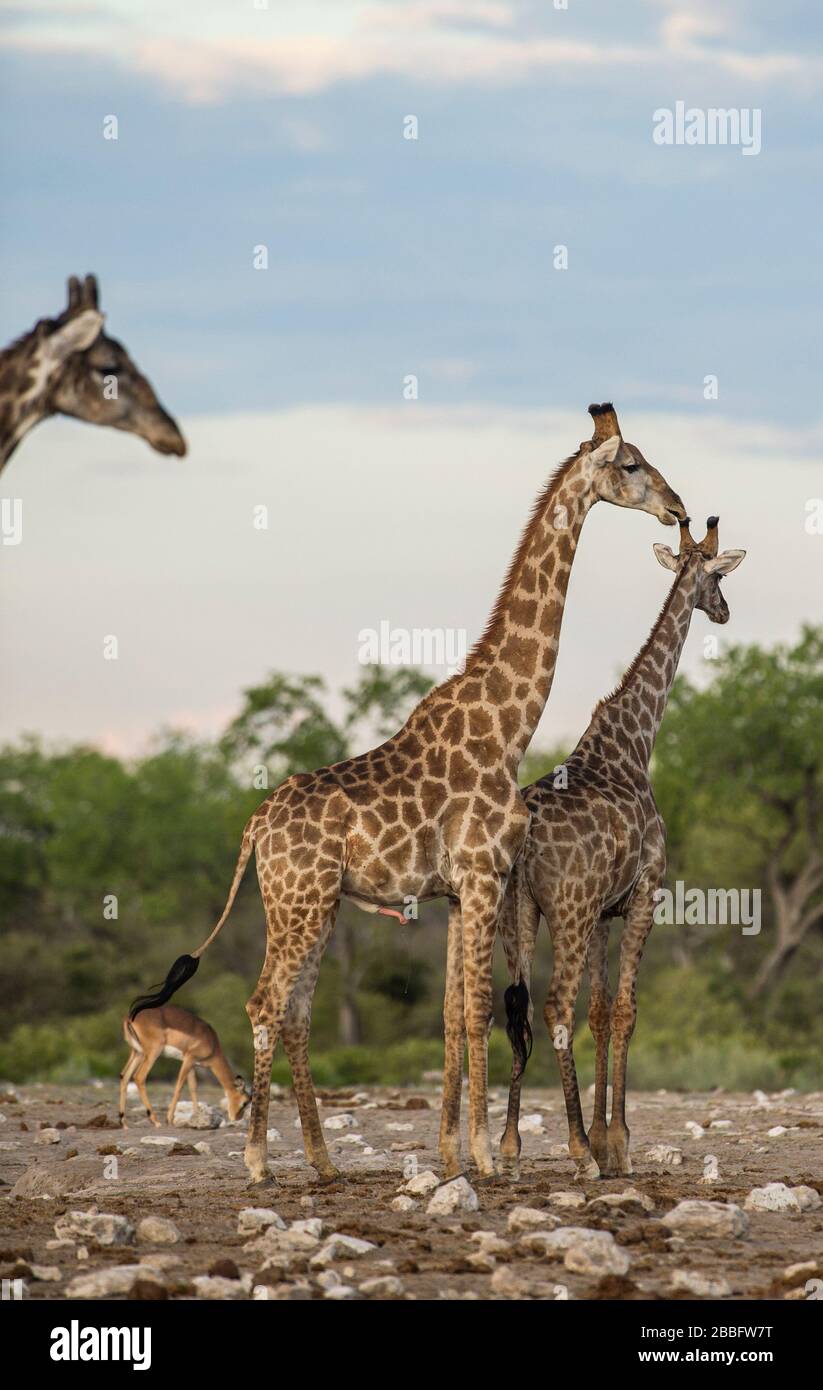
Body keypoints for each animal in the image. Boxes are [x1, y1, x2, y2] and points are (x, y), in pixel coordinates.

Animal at [129, 402, 687, 1187]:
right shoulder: (483, 877)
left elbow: (457, 1013)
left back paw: (322, 1160)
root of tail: (253, 828)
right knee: (265, 1003)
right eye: (631, 464)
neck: (506, 728)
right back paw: (259, 1160)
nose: (678, 509)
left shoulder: (458, 891)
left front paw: (459, 1153)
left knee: (295, 1010)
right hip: (301, 903)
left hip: (308, 905)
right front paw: (483, 1156)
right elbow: (480, 1008)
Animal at [498, 517, 746, 1179]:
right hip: (566, 909)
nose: (725, 612)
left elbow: (601, 1011)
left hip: (518, 911)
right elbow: (627, 1010)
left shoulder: (605, 913)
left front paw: (609, 1137)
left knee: (513, 1006)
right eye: (719, 577)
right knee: (552, 1006)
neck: (637, 743)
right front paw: (617, 1144)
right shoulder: (643, 896)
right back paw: (577, 1149)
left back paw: (508, 1146)